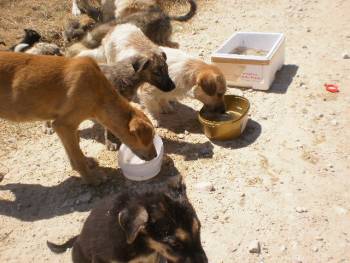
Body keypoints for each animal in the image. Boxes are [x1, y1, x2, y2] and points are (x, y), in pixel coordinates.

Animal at [0, 51, 159, 186]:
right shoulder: (63, 125)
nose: (155, 155)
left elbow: (75, 150)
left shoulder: (69, 126)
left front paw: (86, 161)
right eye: (149, 138)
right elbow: (76, 157)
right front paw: (91, 178)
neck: (98, 92)